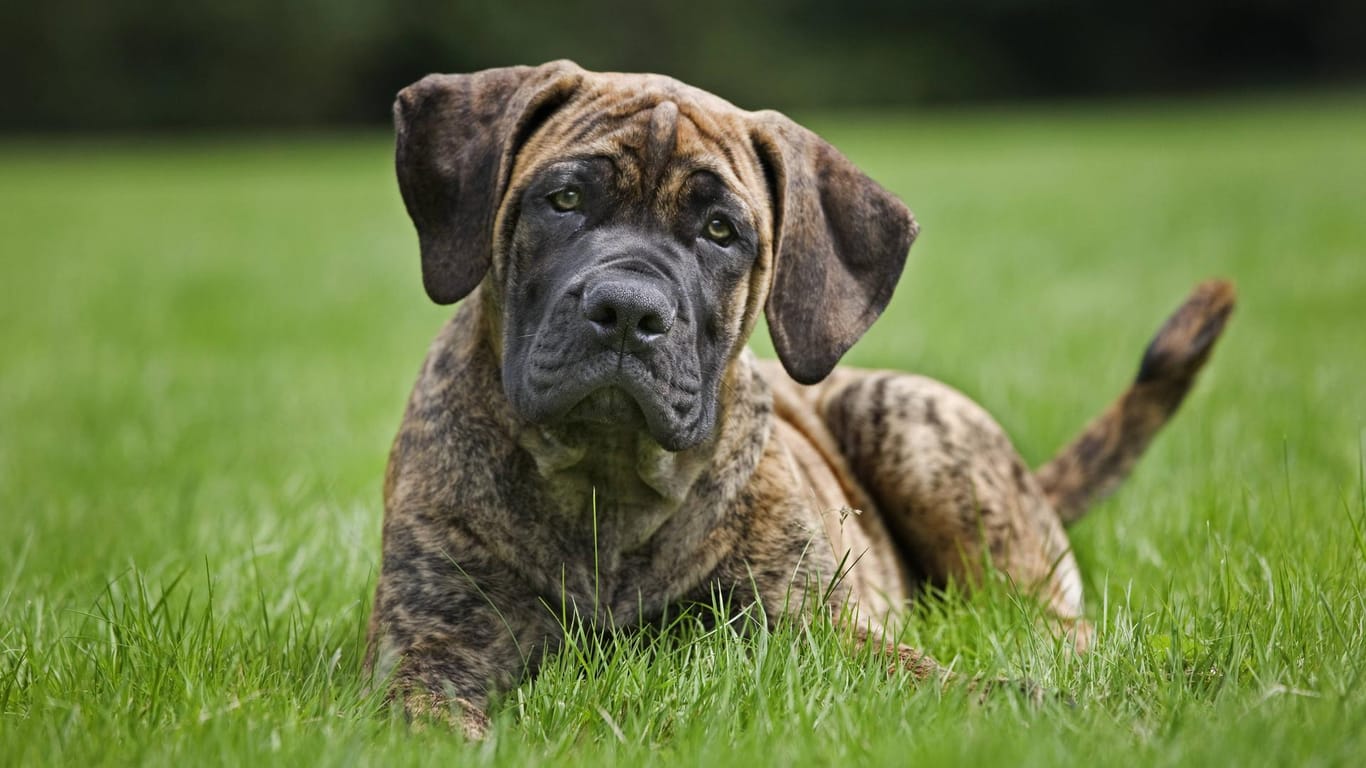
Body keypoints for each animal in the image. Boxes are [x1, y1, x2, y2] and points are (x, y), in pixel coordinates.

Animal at [366, 61, 1240, 737]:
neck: (606, 486)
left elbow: (942, 680)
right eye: (566, 200)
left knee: (1056, 623)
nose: (626, 310)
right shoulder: (431, 644)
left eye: (721, 231)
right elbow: (432, 718)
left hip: (916, 435)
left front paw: (1042, 706)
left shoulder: (817, 633)